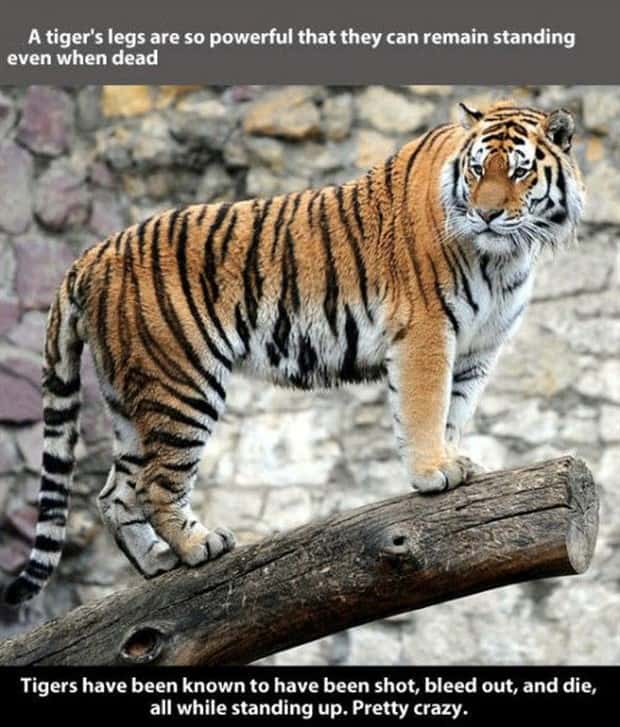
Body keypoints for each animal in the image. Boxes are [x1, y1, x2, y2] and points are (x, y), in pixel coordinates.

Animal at [4, 100, 585, 605]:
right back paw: (198, 547)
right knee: (155, 484)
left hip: (130, 397)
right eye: (478, 169)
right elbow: (425, 407)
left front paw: (454, 459)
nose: (485, 215)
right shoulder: (426, 330)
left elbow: (454, 411)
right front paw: (432, 473)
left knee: (114, 493)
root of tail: (90, 255)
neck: (503, 257)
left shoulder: (477, 348)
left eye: (520, 172)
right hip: (182, 383)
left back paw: (157, 563)